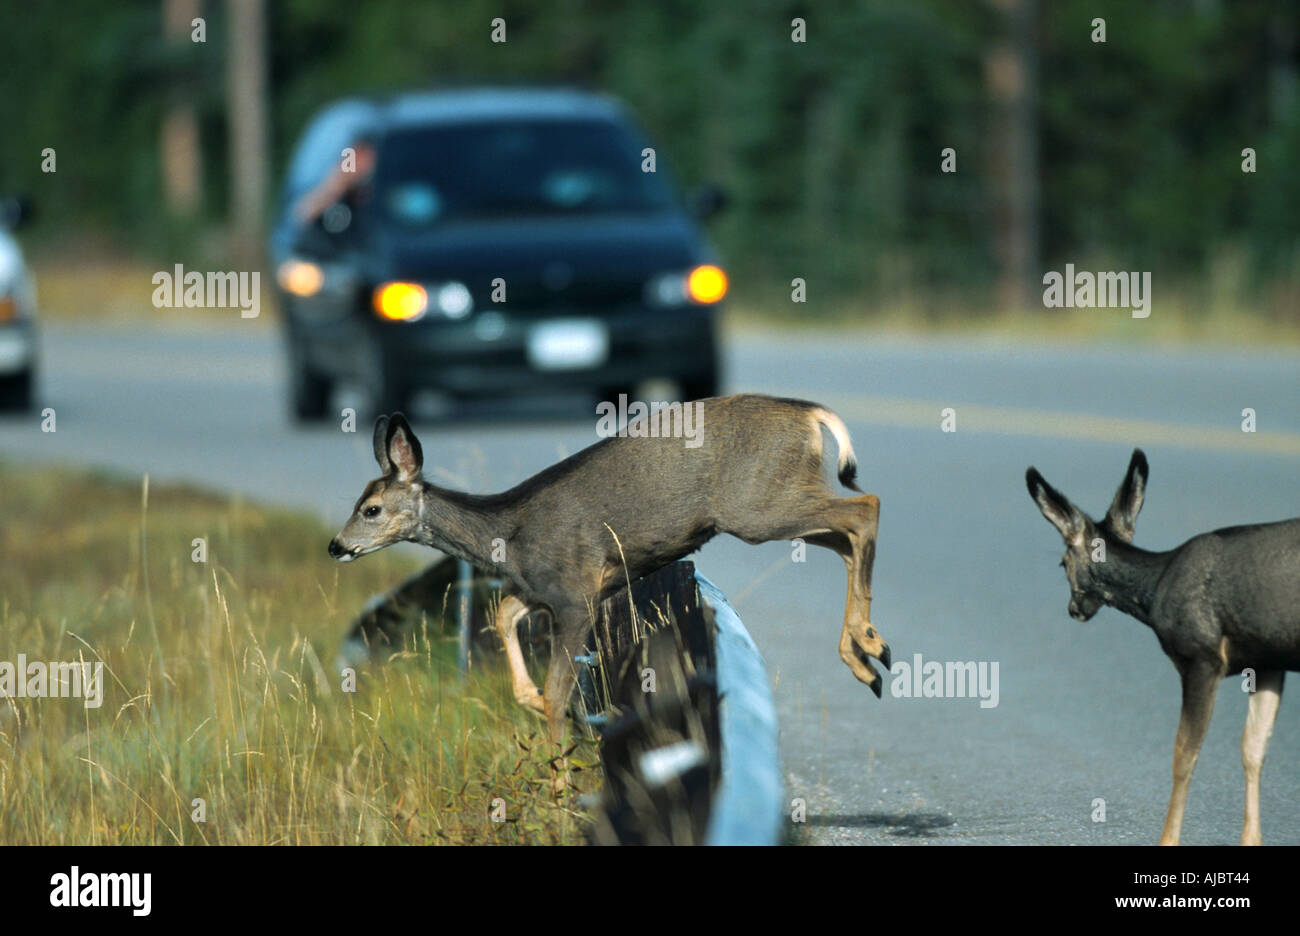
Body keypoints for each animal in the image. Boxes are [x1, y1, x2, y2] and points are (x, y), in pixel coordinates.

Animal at [330, 395, 889, 743]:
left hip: (756, 506)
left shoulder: (575, 595)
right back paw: (866, 656)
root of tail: (810, 413)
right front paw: (528, 698)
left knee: (864, 507)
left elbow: (559, 694)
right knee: (846, 534)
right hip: (774, 501)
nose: (336, 546)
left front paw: (558, 781)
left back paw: (869, 644)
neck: (506, 535)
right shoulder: (544, 591)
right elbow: (503, 613)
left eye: (371, 509)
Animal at [1029, 449, 1294, 842]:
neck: (1155, 589)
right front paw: (1251, 841)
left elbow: (1183, 755)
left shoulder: (1202, 657)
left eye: (1063, 563)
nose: (1073, 609)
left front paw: (1167, 839)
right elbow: (1253, 749)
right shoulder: (1268, 659)